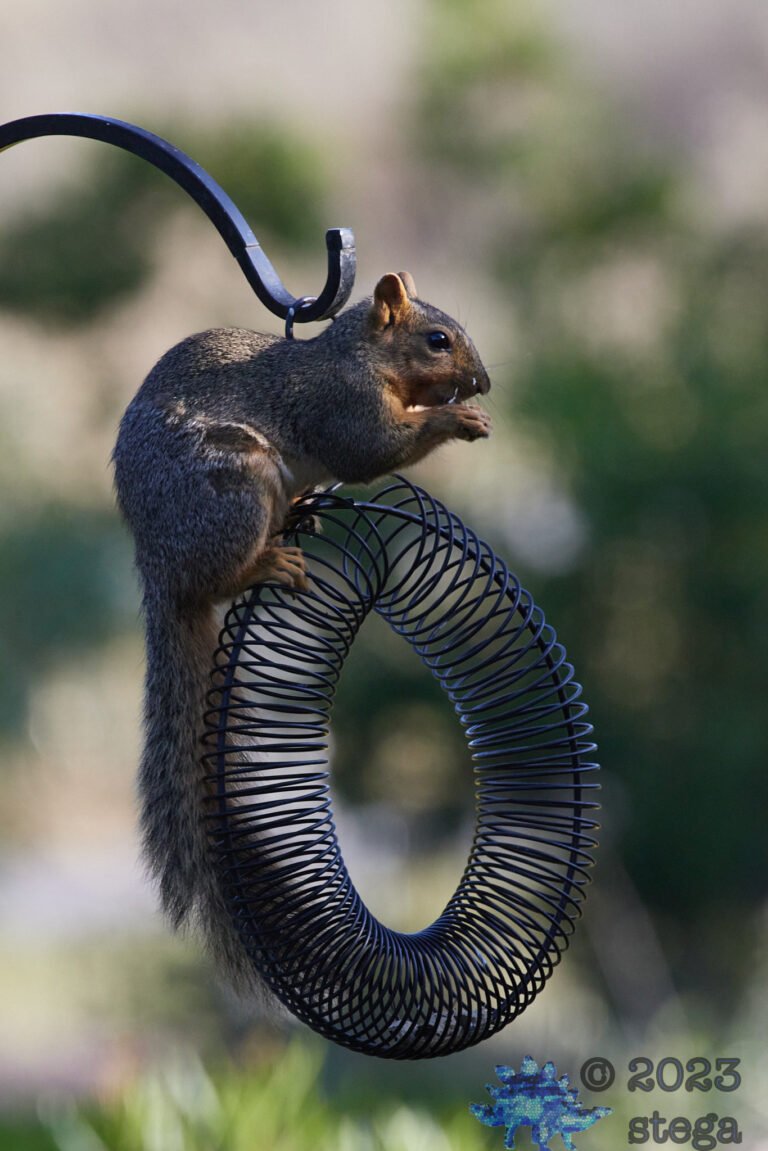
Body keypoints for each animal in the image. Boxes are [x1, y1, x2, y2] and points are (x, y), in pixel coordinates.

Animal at [112, 271, 492, 994]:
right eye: (437, 340)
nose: (482, 383)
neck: (359, 358)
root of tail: (158, 567)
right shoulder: (339, 406)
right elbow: (371, 449)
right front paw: (453, 420)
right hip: (236, 485)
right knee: (219, 579)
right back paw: (268, 561)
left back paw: (300, 518)